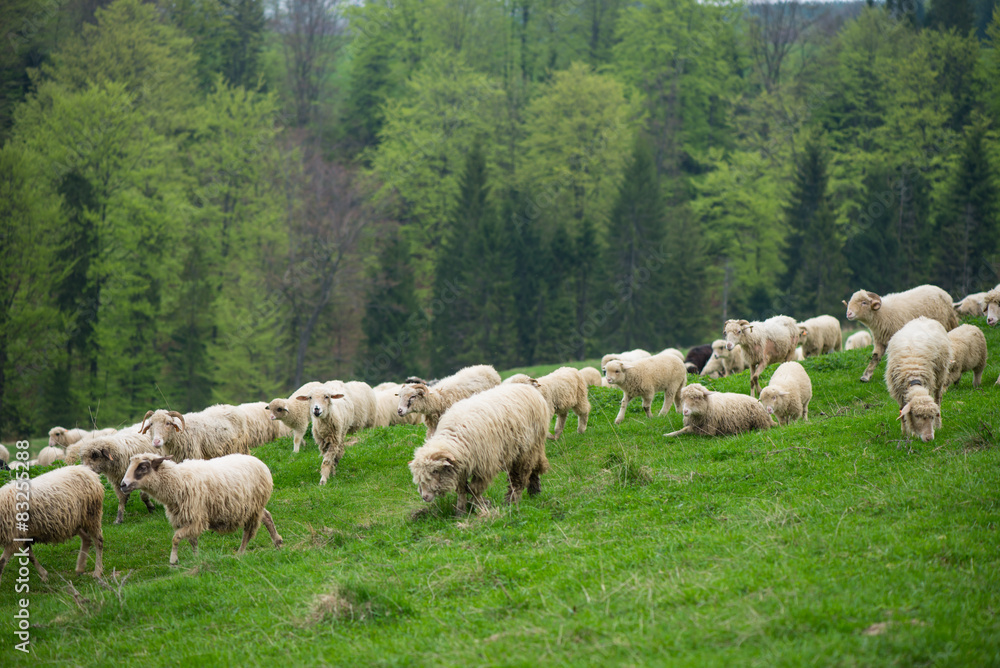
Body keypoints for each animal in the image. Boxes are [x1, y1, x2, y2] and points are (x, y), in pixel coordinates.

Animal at [120, 453, 282, 564]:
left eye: (143, 467)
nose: (123, 485)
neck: (177, 481)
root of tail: (259, 462)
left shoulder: (197, 518)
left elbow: (176, 538)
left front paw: (173, 560)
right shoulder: (186, 518)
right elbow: (192, 541)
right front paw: (196, 558)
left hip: (254, 506)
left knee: (248, 532)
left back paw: (241, 553)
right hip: (252, 507)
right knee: (267, 516)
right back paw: (278, 543)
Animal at [408, 383, 550, 513]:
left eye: (435, 471)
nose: (425, 496)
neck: (456, 437)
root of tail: (528, 387)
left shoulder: (484, 467)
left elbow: (473, 489)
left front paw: (479, 506)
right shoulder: (461, 468)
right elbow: (462, 489)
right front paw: (461, 511)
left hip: (527, 449)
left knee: (519, 478)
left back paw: (511, 502)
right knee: (534, 469)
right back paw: (534, 492)